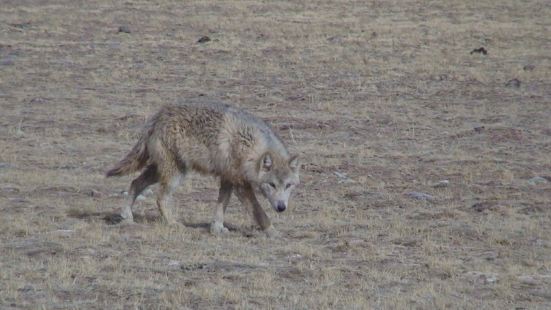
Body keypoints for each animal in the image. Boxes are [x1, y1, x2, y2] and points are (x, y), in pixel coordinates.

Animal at [105, 100, 300, 236]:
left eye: (288, 185)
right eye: (272, 185)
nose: (281, 207)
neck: (251, 147)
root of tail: (158, 116)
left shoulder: (228, 179)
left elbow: (221, 206)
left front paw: (217, 228)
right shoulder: (240, 184)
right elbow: (259, 213)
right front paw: (273, 232)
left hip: (161, 172)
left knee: (135, 183)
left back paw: (127, 216)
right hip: (175, 176)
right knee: (160, 197)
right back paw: (172, 223)